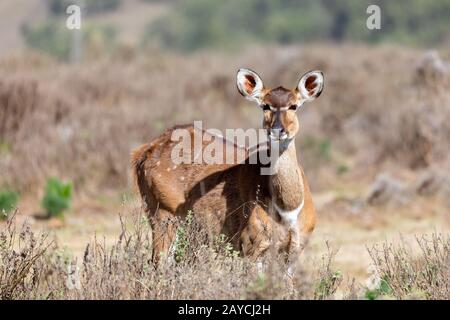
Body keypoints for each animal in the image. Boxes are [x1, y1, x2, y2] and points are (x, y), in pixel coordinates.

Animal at [131, 68, 324, 270]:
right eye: (265, 106)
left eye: (294, 106)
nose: (278, 130)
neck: (288, 210)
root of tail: (142, 152)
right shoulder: (251, 245)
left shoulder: (293, 252)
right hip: (162, 213)